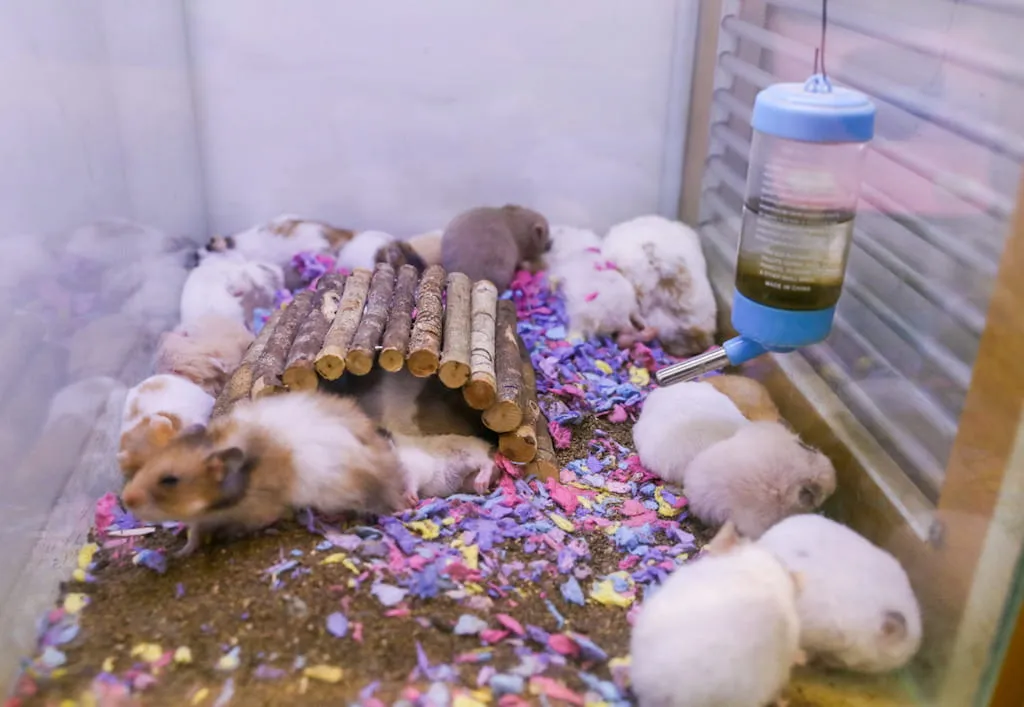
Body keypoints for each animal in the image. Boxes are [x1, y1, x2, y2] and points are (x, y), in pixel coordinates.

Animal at [120, 391, 406, 555]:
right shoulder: (201, 520)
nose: (125, 499)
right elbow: (194, 535)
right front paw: (182, 551)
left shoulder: (259, 512)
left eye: (170, 480)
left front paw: (223, 537)